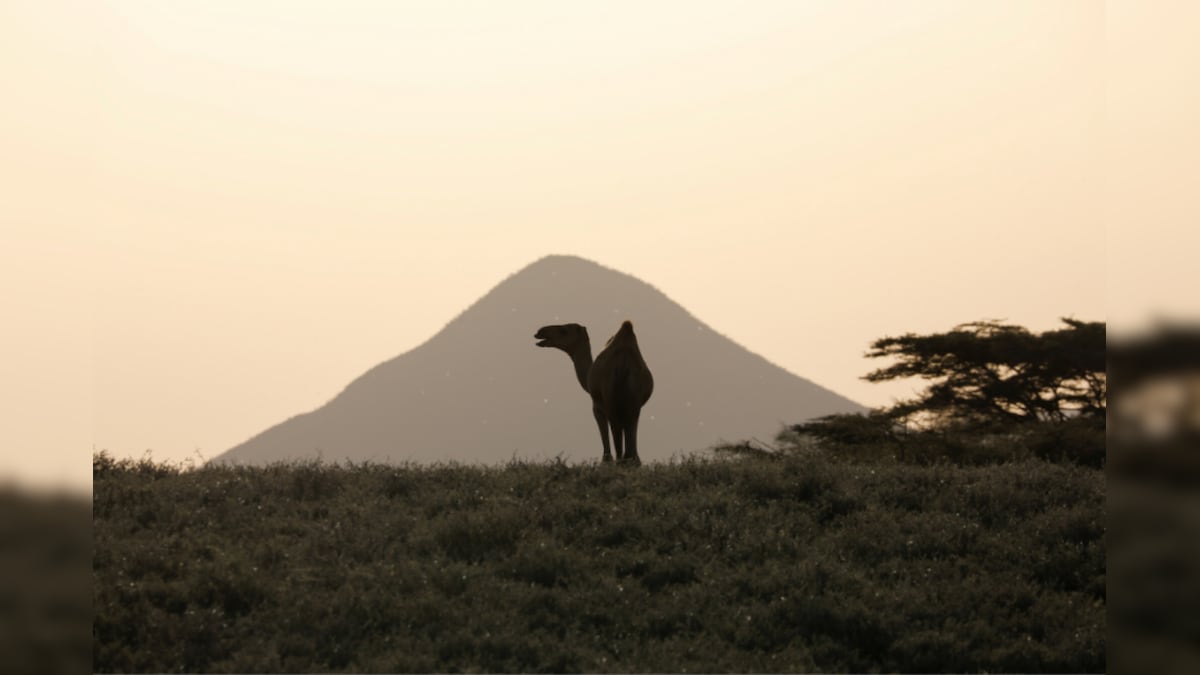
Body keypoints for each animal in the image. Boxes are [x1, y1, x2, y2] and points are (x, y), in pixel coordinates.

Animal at [535, 319, 657, 461]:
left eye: (563, 331)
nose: (540, 331)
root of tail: (623, 363)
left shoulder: (597, 406)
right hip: (632, 402)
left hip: (611, 400)